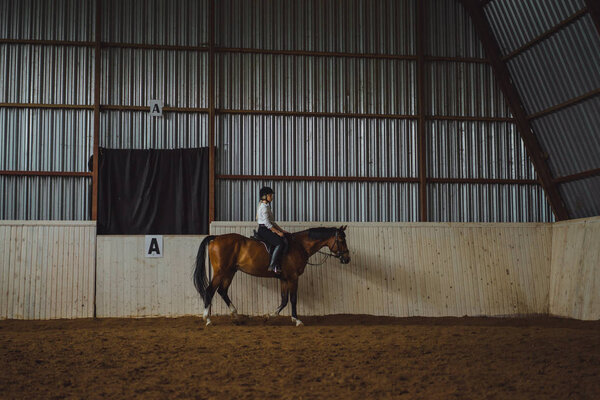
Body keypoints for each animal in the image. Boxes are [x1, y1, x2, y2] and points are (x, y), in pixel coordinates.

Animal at [192, 225, 352, 324]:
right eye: (341, 240)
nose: (347, 259)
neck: (299, 246)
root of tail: (216, 238)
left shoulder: (284, 278)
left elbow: (284, 300)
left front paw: (270, 316)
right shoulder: (293, 277)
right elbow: (293, 299)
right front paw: (297, 320)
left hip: (230, 271)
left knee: (222, 291)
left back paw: (236, 315)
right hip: (221, 272)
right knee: (210, 291)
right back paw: (207, 319)